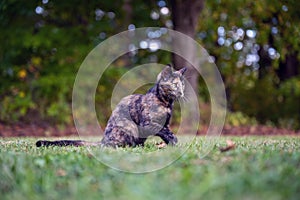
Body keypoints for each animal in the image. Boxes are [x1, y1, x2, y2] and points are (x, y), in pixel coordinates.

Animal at [36, 65, 186, 148]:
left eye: (182, 85)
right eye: (175, 85)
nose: (181, 92)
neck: (166, 103)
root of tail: (103, 141)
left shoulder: (165, 124)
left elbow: (167, 133)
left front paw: (171, 145)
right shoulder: (149, 124)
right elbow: (167, 133)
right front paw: (174, 143)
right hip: (129, 127)